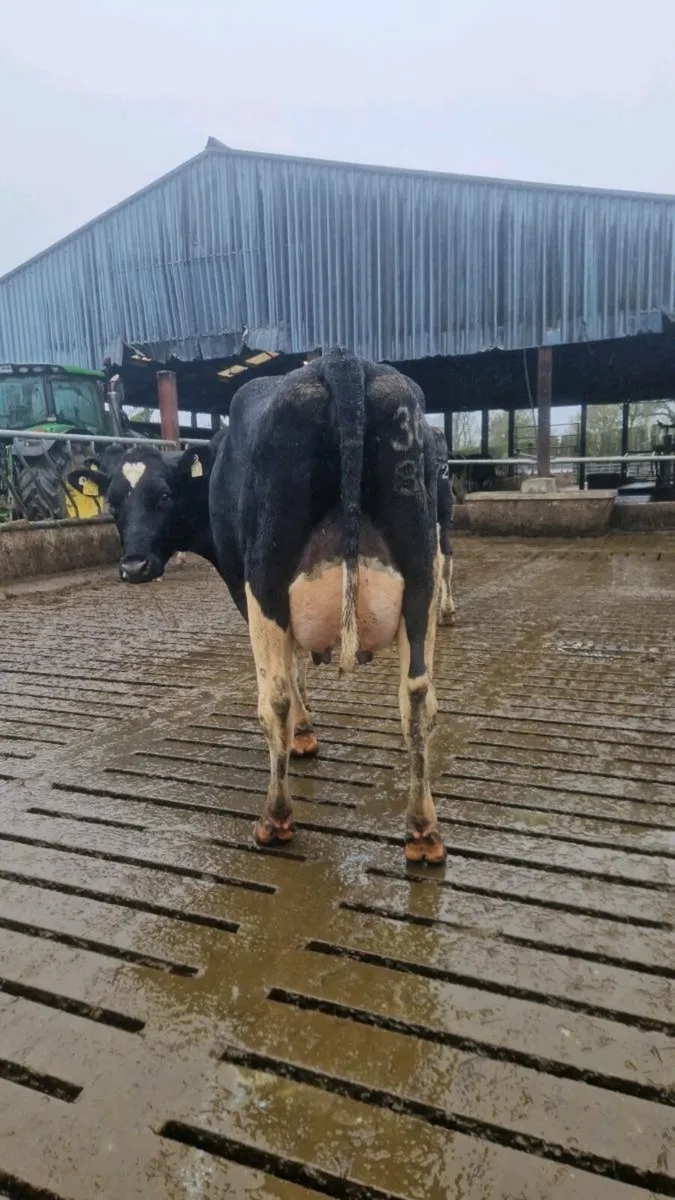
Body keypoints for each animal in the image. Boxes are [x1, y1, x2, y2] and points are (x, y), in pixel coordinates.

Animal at [206, 348, 445, 863]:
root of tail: (342, 360)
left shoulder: (244, 589)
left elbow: (290, 674)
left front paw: (303, 733)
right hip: (423, 571)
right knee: (417, 696)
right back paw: (423, 829)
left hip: (265, 576)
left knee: (273, 695)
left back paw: (275, 819)